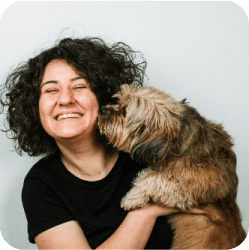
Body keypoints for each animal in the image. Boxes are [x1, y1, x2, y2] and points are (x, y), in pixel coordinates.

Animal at [97, 84, 247, 250]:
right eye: (117, 101)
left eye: (124, 112)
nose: (102, 109)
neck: (175, 142)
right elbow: (151, 174)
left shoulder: (193, 186)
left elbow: (155, 179)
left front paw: (132, 197)